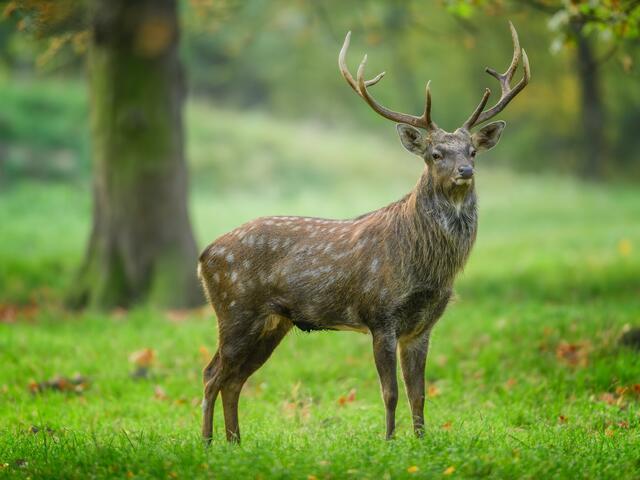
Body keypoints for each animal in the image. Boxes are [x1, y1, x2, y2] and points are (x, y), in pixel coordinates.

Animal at [201, 22, 528, 442]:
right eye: (435, 154)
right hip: (235, 309)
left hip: (272, 322)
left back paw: (235, 442)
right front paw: (388, 441)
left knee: (234, 380)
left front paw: (421, 441)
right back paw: (207, 442)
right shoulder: (380, 314)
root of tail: (205, 255)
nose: (465, 172)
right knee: (212, 373)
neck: (426, 266)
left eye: (472, 151)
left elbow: (419, 392)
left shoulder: (423, 325)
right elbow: (390, 392)